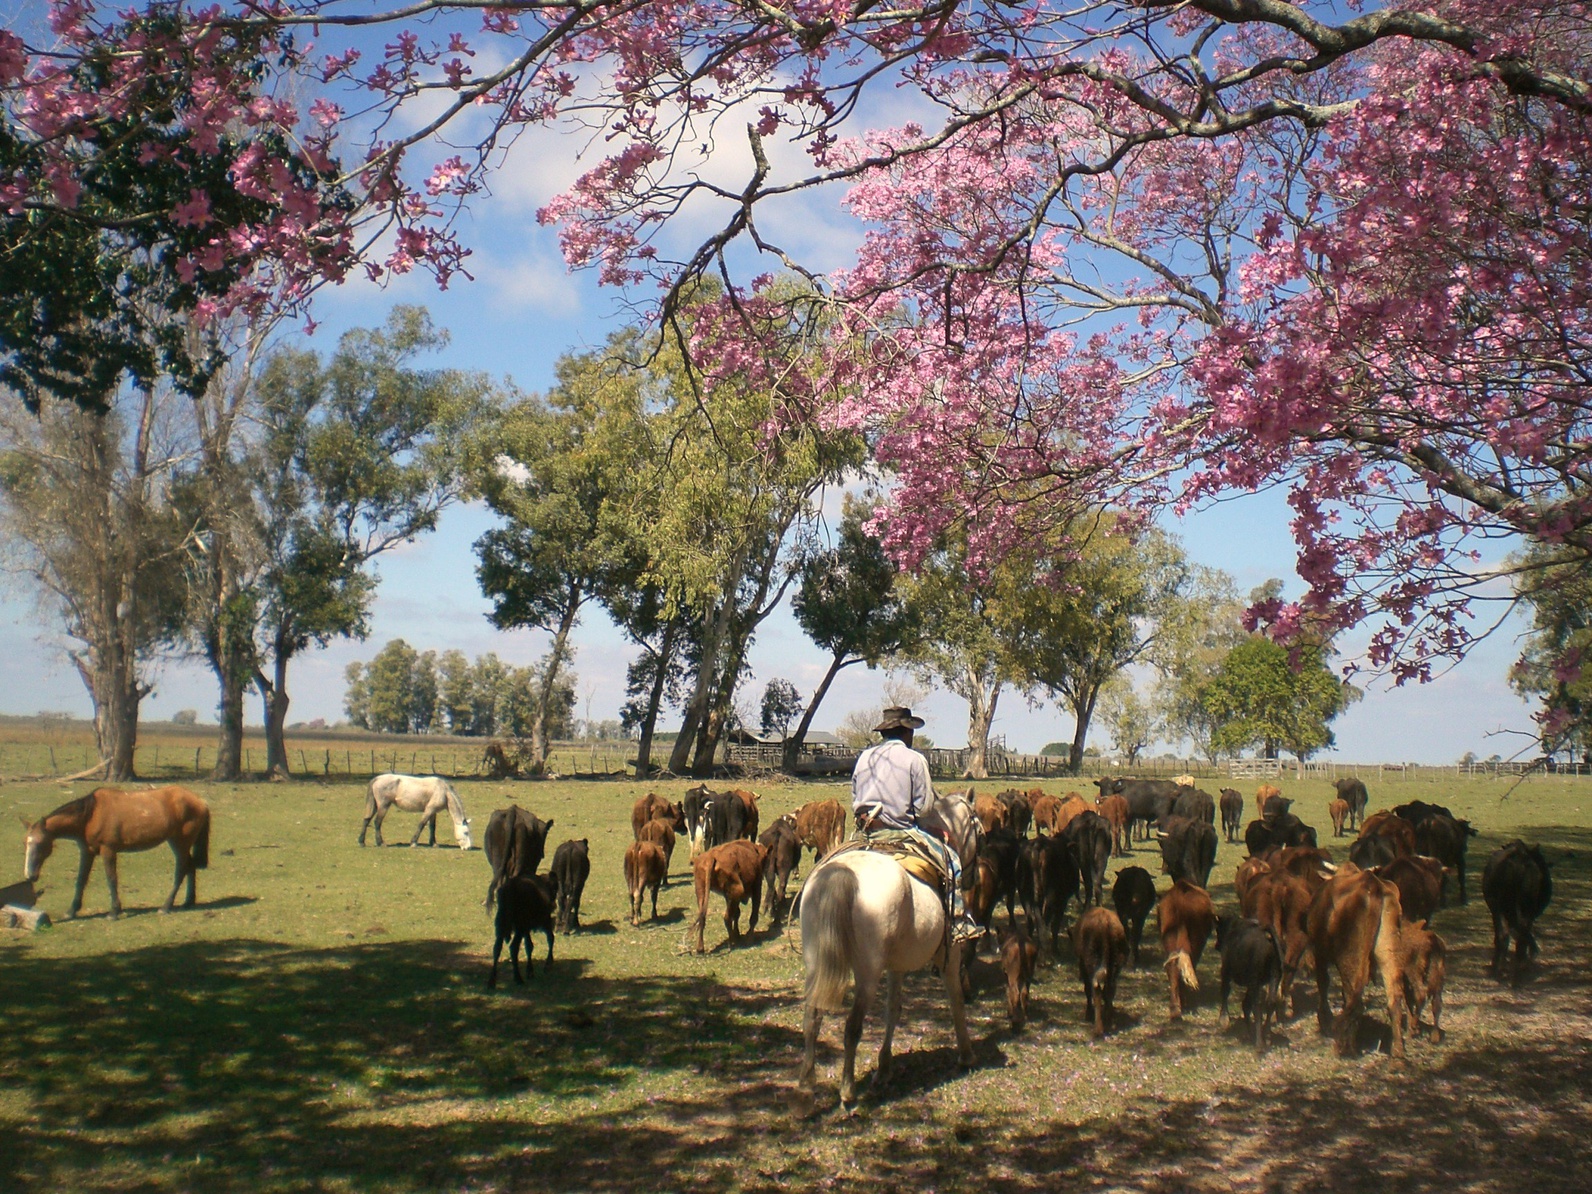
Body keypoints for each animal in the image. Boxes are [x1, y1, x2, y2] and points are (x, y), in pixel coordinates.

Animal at [22, 789, 210, 923]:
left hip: (180, 843)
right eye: (26, 843)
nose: (30, 875)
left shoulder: (108, 850)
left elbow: (111, 879)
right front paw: (71, 911)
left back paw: (166, 906)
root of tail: (200, 801)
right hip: (178, 843)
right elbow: (81, 880)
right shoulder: (87, 851)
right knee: (190, 867)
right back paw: (188, 901)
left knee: (181, 870)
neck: (91, 815)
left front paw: (114, 912)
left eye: (40, 843)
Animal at [802, 796, 974, 1114]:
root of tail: (843, 873)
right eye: (977, 825)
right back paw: (848, 1092)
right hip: (868, 973)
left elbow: (893, 1009)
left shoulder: (896, 965)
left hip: (816, 962)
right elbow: (955, 998)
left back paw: (805, 1091)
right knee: (852, 1027)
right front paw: (966, 1054)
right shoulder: (950, 953)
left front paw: (884, 1068)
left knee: (812, 1018)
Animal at [1477, 834, 1553, 987]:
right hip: (1523, 909)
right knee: (1521, 934)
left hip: (1502, 908)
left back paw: (1501, 970)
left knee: (1505, 934)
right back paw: (1518, 973)